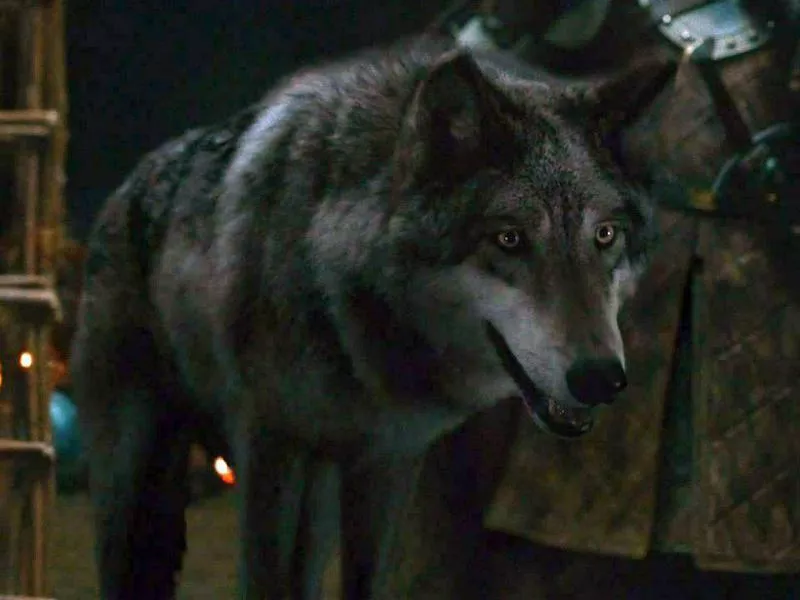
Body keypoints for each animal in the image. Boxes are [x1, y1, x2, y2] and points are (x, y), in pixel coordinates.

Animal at [70, 35, 669, 600]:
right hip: (130, 481)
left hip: (316, 502)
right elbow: (263, 582)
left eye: (605, 235)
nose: (601, 378)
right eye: (510, 239)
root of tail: (127, 187)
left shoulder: (387, 463)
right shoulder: (267, 452)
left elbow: (366, 582)